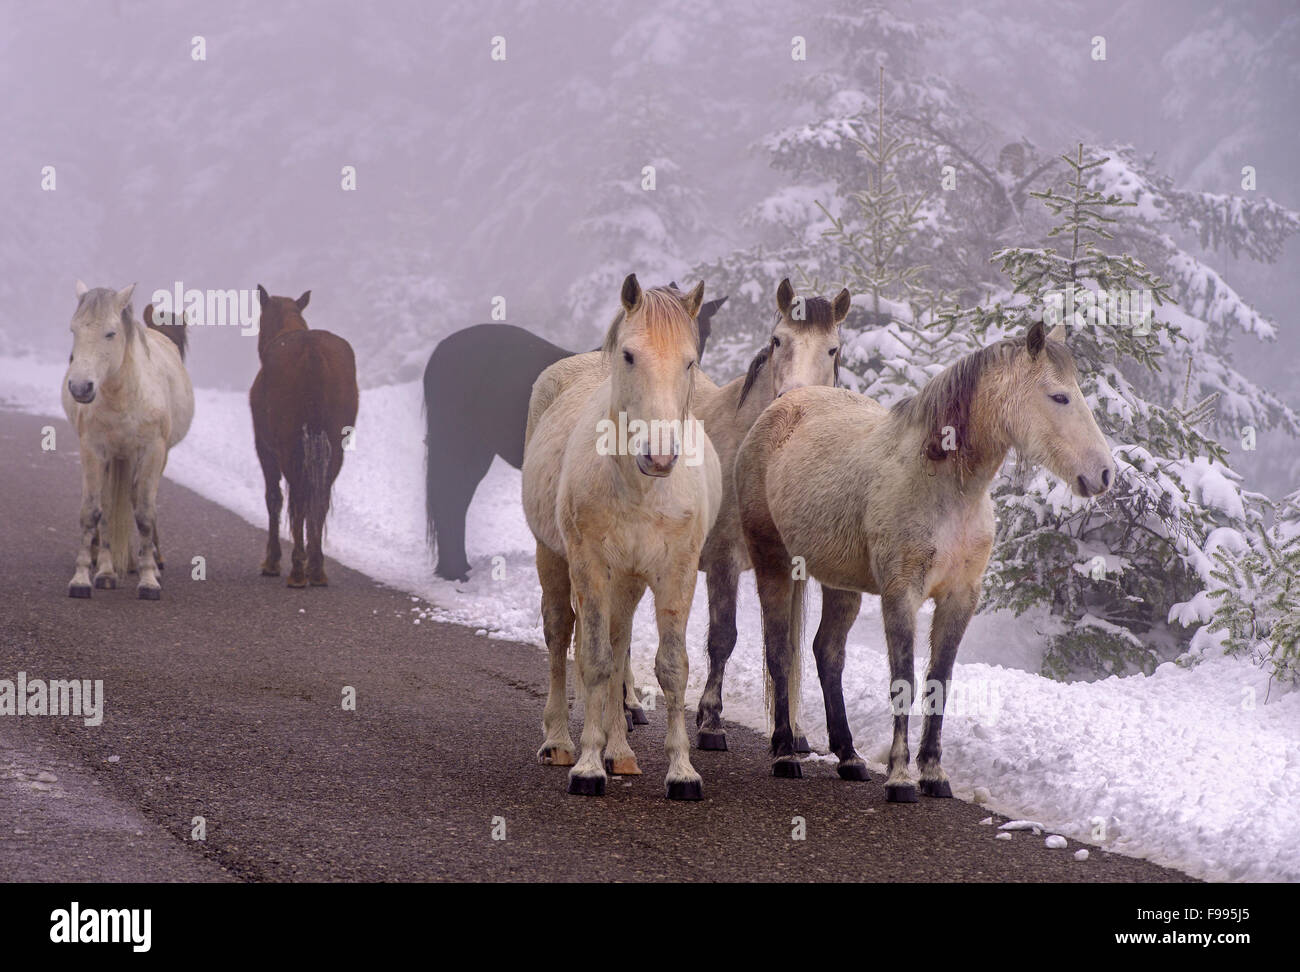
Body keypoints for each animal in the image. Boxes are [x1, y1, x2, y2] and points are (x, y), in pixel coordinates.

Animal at [61, 280, 192, 600]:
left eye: (110, 333)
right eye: (74, 330)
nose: (80, 387)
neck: (122, 396)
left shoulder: (152, 453)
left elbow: (144, 513)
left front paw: (148, 580)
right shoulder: (93, 451)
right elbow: (92, 512)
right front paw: (81, 579)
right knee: (108, 508)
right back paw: (107, 573)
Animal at [249, 280, 358, 584]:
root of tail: (313, 354)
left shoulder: (264, 447)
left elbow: (274, 498)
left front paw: (272, 561)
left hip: (289, 445)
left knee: (298, 496)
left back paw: (298, 569)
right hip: (334, 446)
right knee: (319, 499)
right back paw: (316, 567)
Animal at [520, 276, 722, 800]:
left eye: (689, 360)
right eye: (630, 355)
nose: (660, 456)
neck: (640, 487)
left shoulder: (676, 573)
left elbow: (670, 667)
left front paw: (682, 772)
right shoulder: (589, 566)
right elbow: (593, 660)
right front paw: (588, 768)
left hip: (628, 581)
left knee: (620, 638)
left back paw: (620, 751)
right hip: (554, 559)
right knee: (560, 635)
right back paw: (559, 742)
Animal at [738, 322, 1112, 800]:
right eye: (1059, 396)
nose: (1104, 473)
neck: (943, 483)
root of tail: (782, 407)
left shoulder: (960, 598)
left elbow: (939, 681)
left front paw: (933, 772)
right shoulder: (901, 595)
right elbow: (905, 681)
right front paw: (900, 777)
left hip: (841, 584)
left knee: (828, 653)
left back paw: (849, 757)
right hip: (773, 564)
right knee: (780, 651)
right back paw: (785, 752)